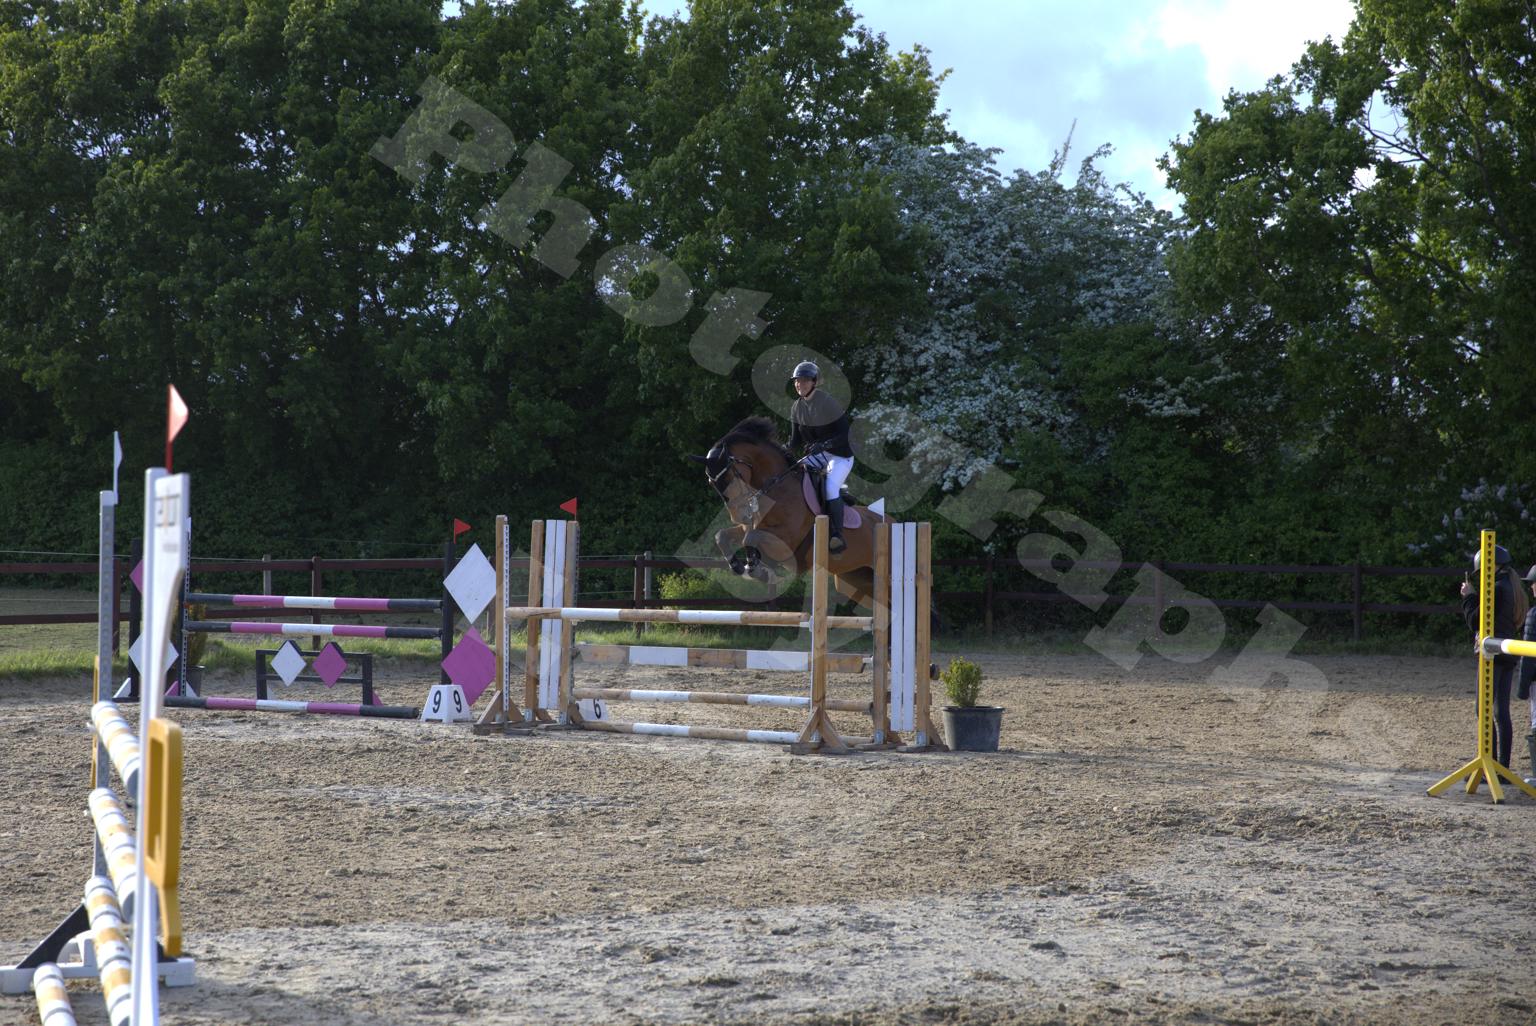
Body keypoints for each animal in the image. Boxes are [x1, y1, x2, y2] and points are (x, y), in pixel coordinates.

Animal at [688, 417, 884, 607]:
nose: (738, 516)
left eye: (731, 477)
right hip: (855, 580)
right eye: (711, 483)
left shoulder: (787, 540)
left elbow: (750, 538)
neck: (776, 487)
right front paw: (738, 566)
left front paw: (757, 571)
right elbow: (723, 536)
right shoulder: (751, 527)